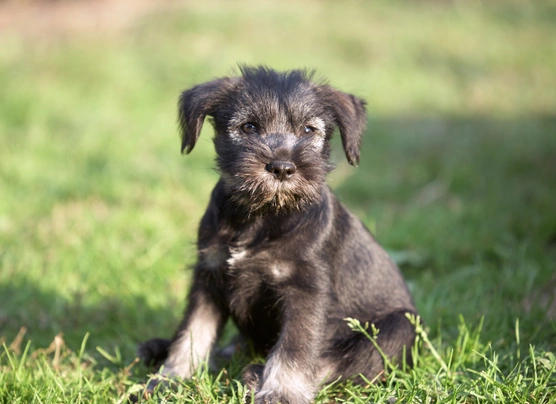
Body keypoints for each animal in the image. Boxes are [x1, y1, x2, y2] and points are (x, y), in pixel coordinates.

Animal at [139, 64, 416, 402]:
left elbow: (295, 348)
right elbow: (193, 332)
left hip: (399, 328)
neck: (262, 216)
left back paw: (252, 376)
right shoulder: (209, 278)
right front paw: (170, 379)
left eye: (309, 130)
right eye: (248, 126)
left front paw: (281, 392)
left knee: (343, 363)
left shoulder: (306, 291)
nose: (282, 168)